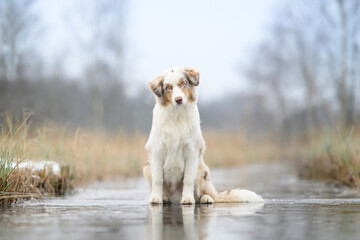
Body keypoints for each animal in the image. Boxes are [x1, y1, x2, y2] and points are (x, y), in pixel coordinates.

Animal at [143, 67, 264, 204]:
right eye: (168, 87)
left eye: (183, 83)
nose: (178, 99)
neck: (177, 116)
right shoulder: (157, 151)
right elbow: (158, 180)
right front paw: (156, 198)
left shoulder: (191, 151)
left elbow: (188, 179)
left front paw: (188, 199)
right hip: (147, 168)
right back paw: (164, 197)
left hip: (201, 170)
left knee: (204, 195)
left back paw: (206, 198)